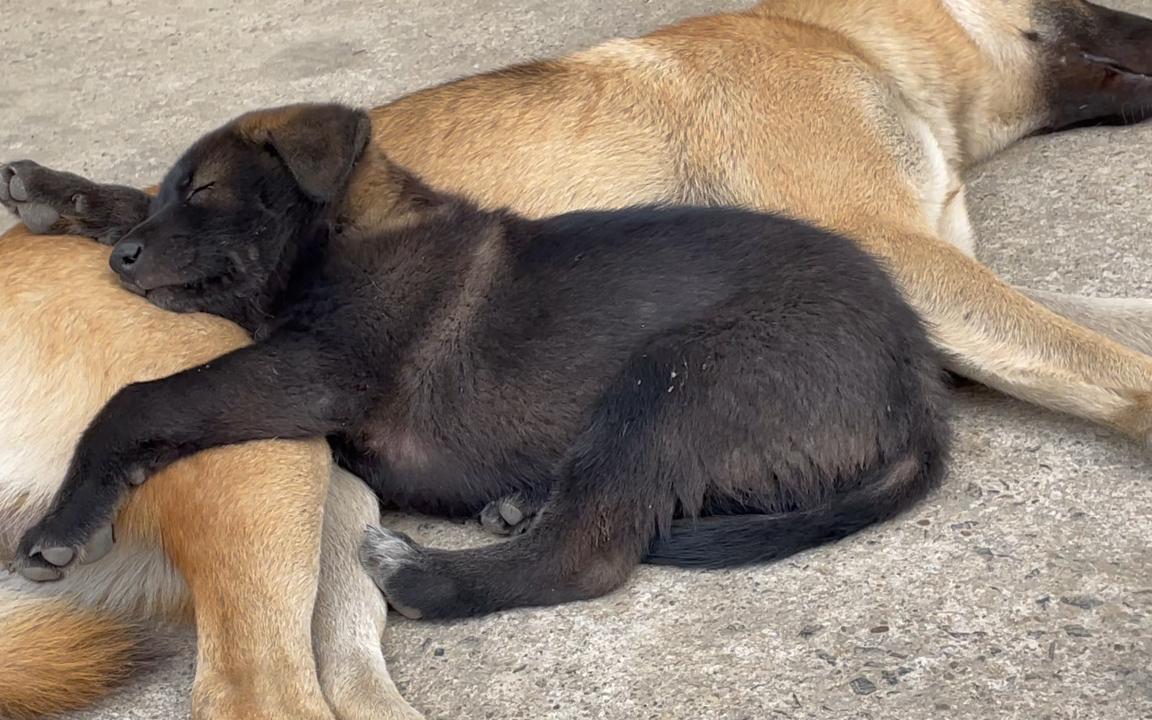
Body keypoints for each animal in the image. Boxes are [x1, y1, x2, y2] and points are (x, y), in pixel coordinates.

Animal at [4, 105, 949, 617]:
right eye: (172, 192)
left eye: (203, 191)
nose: (125, 259)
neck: (344, 232)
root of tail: (919, 387)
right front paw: (56, 194)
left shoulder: (316, 372)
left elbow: (142, 399)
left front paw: (62, 521)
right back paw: (523, 499)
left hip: (685, 373)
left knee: (590, 551)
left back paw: (424, 575)